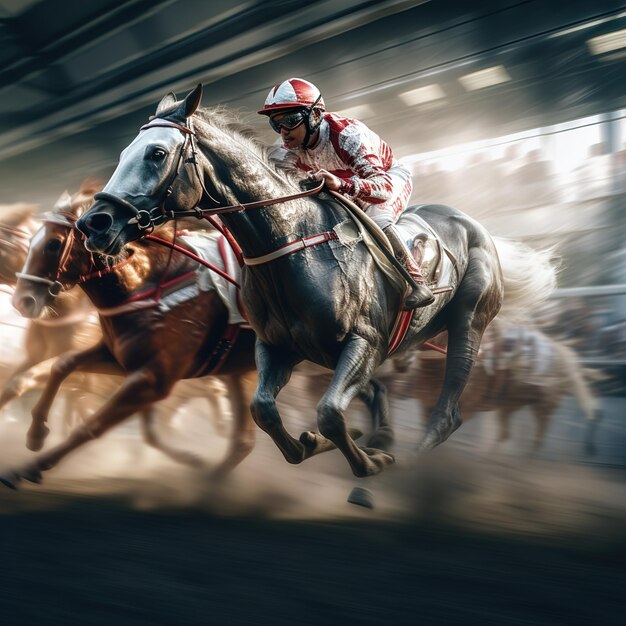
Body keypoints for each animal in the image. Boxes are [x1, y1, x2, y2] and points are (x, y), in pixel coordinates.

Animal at [75, 86, 552, 478]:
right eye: (123, 153)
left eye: (156, 153)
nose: (94, 223)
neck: (290, 242)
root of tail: (474, 224)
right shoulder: (275, 346)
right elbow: (264, 410)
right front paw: (316, 444)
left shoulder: (365, 342)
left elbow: (329, 413)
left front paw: (367, 461)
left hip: (468, 321)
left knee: (449, 405)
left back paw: (412, 458)